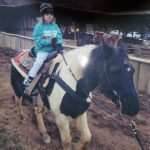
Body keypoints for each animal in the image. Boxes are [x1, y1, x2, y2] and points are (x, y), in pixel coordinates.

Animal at [10, 35, 139, 150]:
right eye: (115, 70)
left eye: (133, 70)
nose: (133, 107)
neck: (74, 83)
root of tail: (19, 53)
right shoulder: (61, 118)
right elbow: (66, 142)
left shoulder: (80, 112)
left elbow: (87, 137)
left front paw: (77, 145)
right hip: (17, 88)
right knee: (18, 101)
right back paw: (22, 118)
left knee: (37, 110)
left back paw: (45, 135)